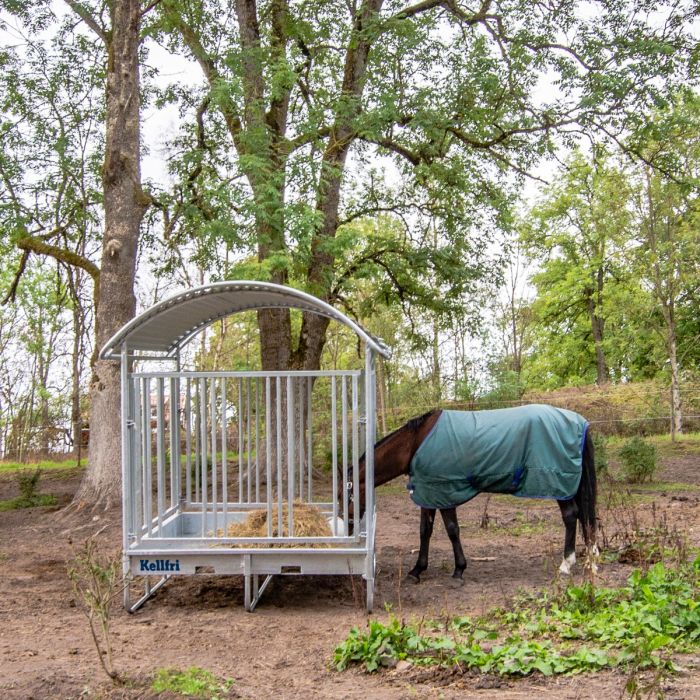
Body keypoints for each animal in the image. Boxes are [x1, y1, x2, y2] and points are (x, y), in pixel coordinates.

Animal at [352, 402, 600, 584]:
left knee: (570, 516)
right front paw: (417, 571)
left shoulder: (443, 491)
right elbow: (425, 531)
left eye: (347, 498)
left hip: (558, 484)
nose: (350, 528)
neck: (415, 444)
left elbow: (452, 530)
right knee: (584, 516)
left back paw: (566, 564)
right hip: (570, 486)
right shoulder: (428, 493)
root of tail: (579, 421)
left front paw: (458, 570)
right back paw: (590, 558)